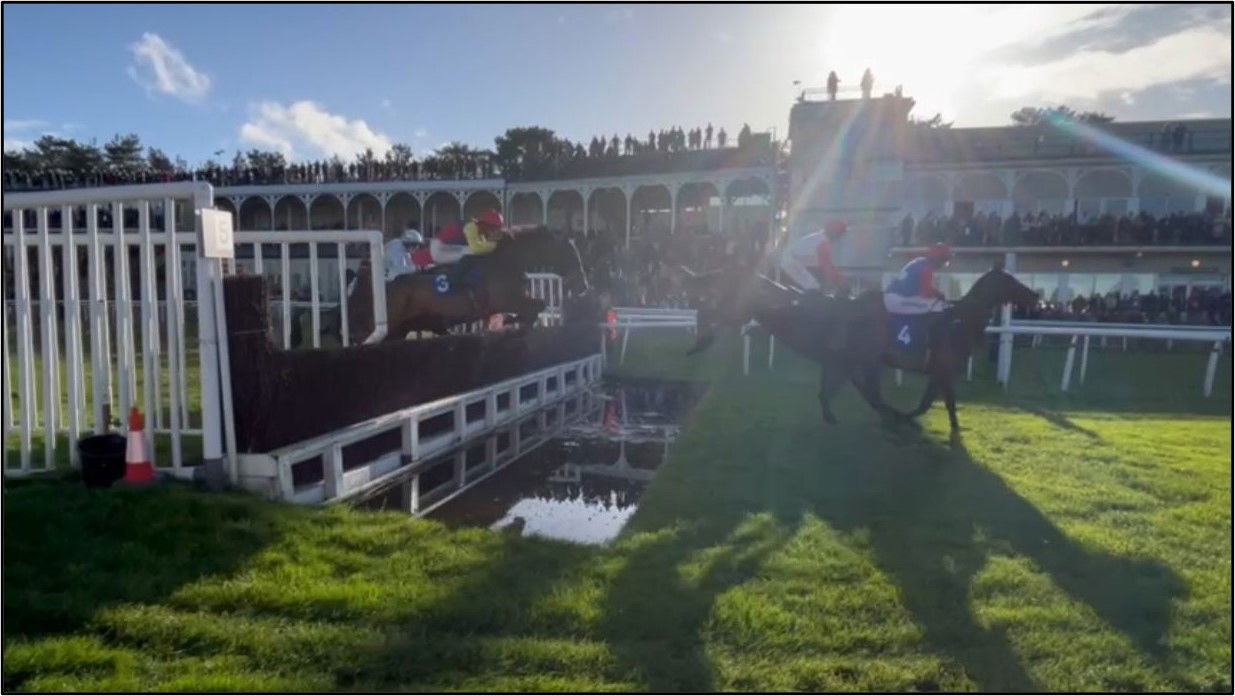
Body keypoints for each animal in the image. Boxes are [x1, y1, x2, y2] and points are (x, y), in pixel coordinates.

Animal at [333, 229, 587, 343]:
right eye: (570, 253)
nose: (583, 285)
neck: (508, 261)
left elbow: (538, 306)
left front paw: (511, 321)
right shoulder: (507, 298)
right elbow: (536, 306)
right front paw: (511, 321)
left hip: (402, 327)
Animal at [741, 269, 1042, 431]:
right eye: (1012, 281)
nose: (1036, 296)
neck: (960, 321)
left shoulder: (943, 372)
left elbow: (942, 402)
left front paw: (954, 428)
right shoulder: (943, 370)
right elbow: (928, 404)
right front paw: (912, 421)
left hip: (852, 359)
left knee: (843, 389)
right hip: (865, 359)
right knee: (861, 391)